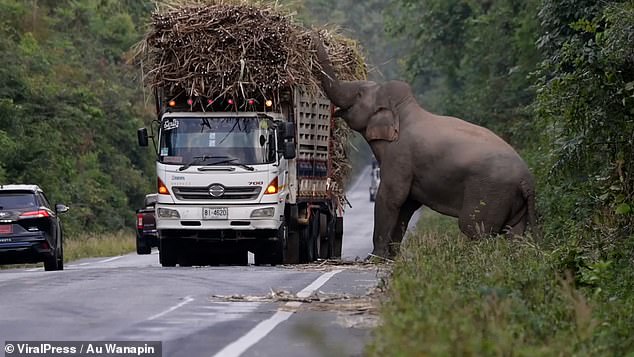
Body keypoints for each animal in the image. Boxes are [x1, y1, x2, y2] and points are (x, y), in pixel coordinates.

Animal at [314, 36, 536, 258]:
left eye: (359, 94)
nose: (317, 37)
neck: (403, 110)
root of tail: (527, 180)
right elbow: (407, 205)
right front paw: (391, 257)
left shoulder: (400, 156)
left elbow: (391, 197)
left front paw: (374, 257)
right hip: (514, 203)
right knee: (514, 234)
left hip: (489, 193)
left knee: (475, 229)